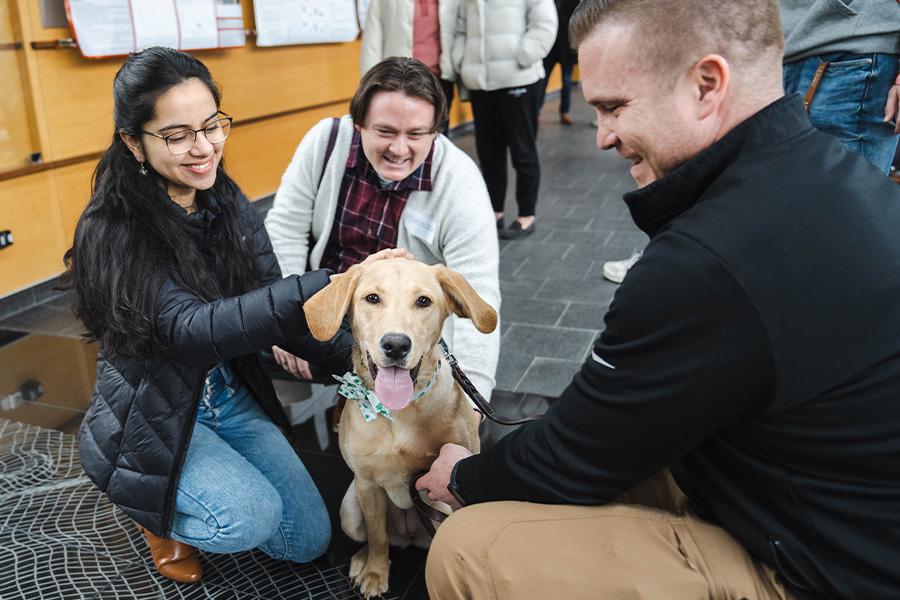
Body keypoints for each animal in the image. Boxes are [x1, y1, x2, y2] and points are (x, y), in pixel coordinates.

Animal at [306, 258, 496, 600]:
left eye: (423, 301)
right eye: (372, 298)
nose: (395, 345)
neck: (398, 411)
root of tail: (408, 535)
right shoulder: (367, 485)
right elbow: (377, 535)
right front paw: (375, 573)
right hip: (348, 512)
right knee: (377, 536)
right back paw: (362, 560)